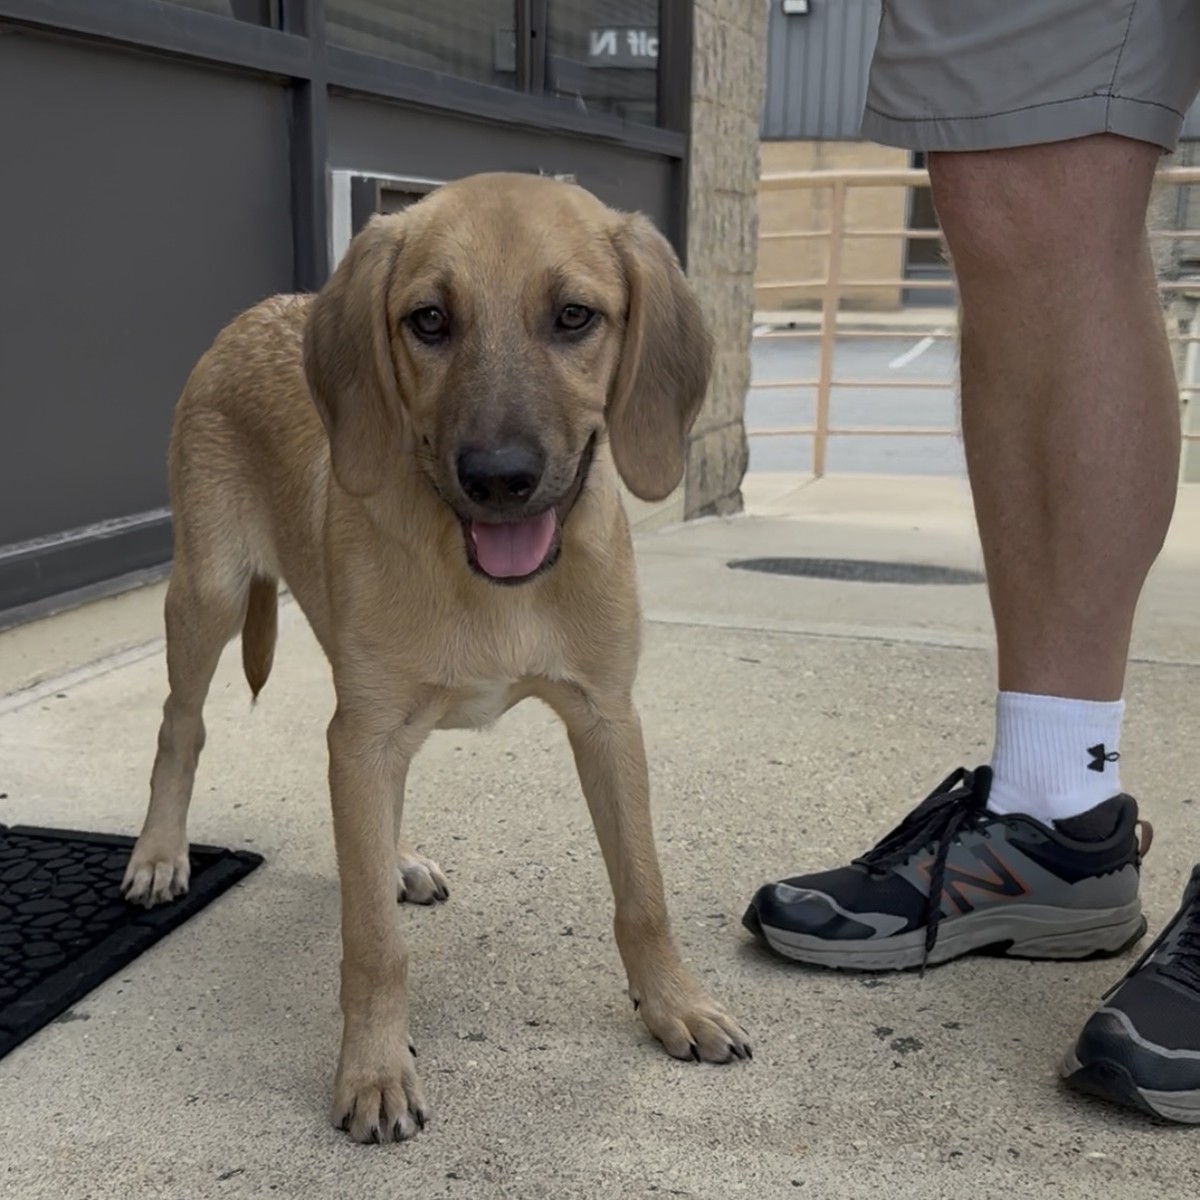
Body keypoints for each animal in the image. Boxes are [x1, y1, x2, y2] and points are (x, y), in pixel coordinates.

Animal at [119, 171, 750, 1143]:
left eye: (575, 316)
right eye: (428, 320)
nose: (499, 478)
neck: (497, 586)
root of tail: (258, 311)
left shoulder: (607, 716)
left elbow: (644, 889)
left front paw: (674, 1004)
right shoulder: (367, 733)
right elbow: (373, 944)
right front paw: (375, 1070)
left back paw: (395, 856)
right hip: (210, 594)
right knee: (179, 726)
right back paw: (160, 853)